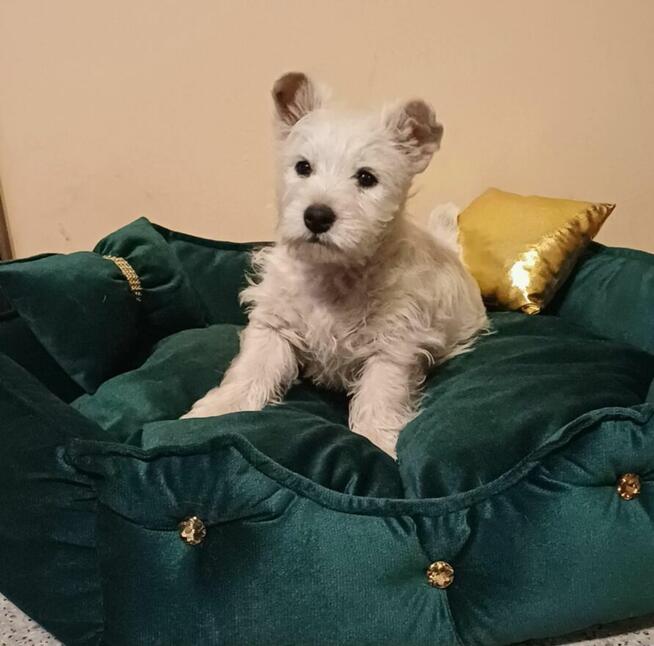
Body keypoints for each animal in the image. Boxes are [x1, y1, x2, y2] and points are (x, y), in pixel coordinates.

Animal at [183, 72, 488, 457]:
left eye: (367, 178)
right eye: (303, 167)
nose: (316, 216)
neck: (333, 273)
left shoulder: (392, 348)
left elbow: (379, 397)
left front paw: (377, 442)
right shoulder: (274, 327)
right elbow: (252, 370)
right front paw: (215, 411)